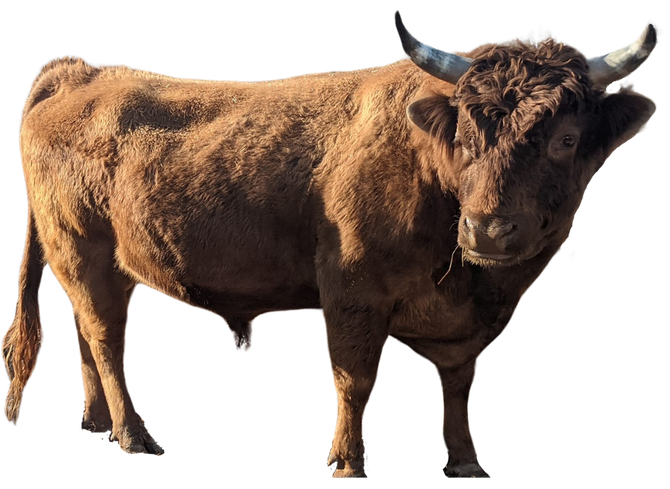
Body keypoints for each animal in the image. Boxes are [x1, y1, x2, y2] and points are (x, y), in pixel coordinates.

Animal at [2, 11, 661, 478]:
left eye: (566, 138)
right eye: (465, 136)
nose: (489, 230)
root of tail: (83, 71)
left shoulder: (466, 324)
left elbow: (458, 382)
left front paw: (466, 460)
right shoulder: (353, 292)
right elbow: (355, 378)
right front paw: (348, 461)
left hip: (100, 267)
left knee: (87, 334)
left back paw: (97, 423)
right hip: (83, 253)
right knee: (107, 340)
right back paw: (135, 437)